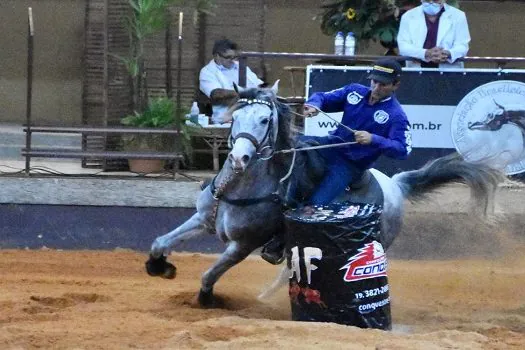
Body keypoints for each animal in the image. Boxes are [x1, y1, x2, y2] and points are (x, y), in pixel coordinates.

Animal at [145, 82, 502, 306]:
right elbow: (160, 241)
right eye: (236, 116)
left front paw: (206, 298)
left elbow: (210, 272)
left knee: (293, 270)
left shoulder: (242, 245)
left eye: (265, 119)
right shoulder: (202, 219)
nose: (239, 158)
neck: (242, 187)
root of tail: (396, 185)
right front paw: (159, 266)